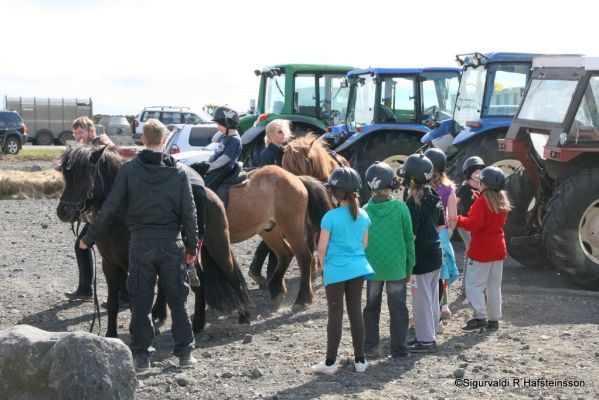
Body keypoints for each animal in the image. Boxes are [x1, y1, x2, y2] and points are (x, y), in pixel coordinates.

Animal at [56, 145, 251, 338]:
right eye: (66, 175)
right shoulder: (109, 264)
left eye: (84, 176)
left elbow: (135, 301)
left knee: (231, 273)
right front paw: (111, 334)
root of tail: (211, 194)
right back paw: (197, 324)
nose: (63, 211)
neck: (120, 216)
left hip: (218, 246)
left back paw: (244, 316)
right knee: (200, 282)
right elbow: (113, 302)